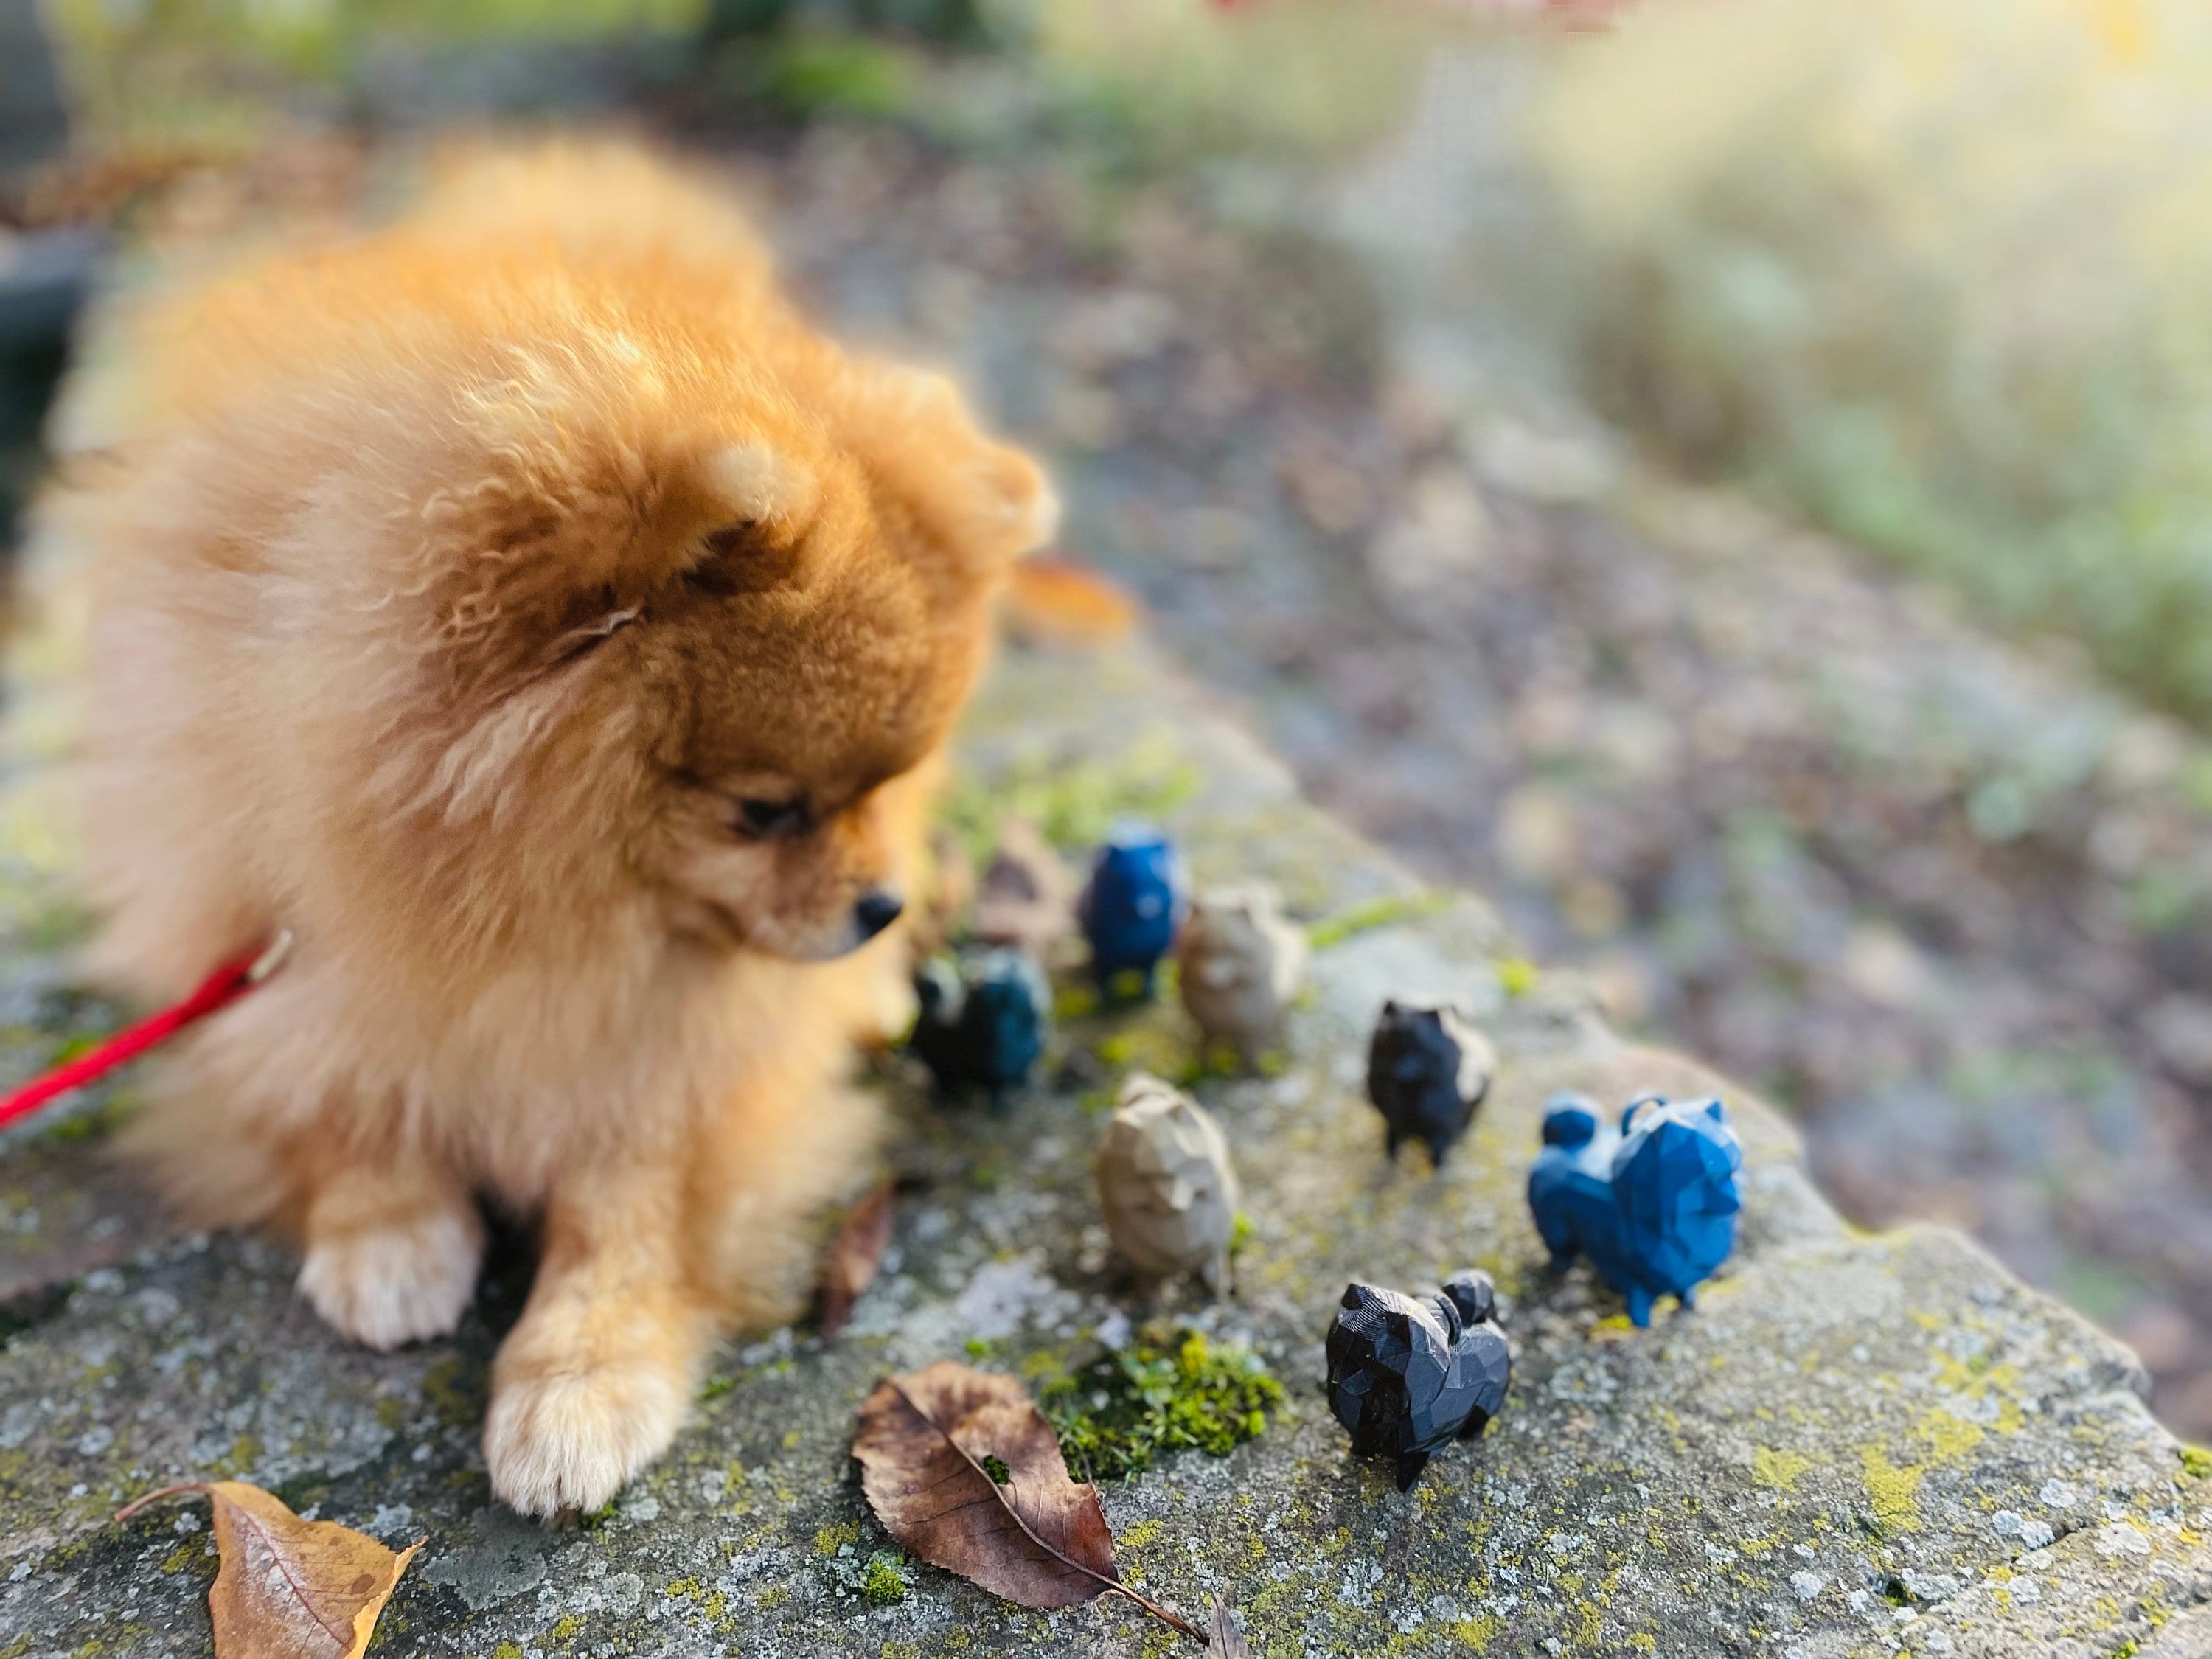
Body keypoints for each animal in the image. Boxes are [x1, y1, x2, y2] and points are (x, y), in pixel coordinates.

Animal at [54, 146, 1053, 1522]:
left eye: (876, 792)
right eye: (763, 810)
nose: (879, 906)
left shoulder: (670, 1056)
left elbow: (628, 1200)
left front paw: (582, 1372)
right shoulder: (258, 937)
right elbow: (331, 1085)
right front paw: (387, 1227)